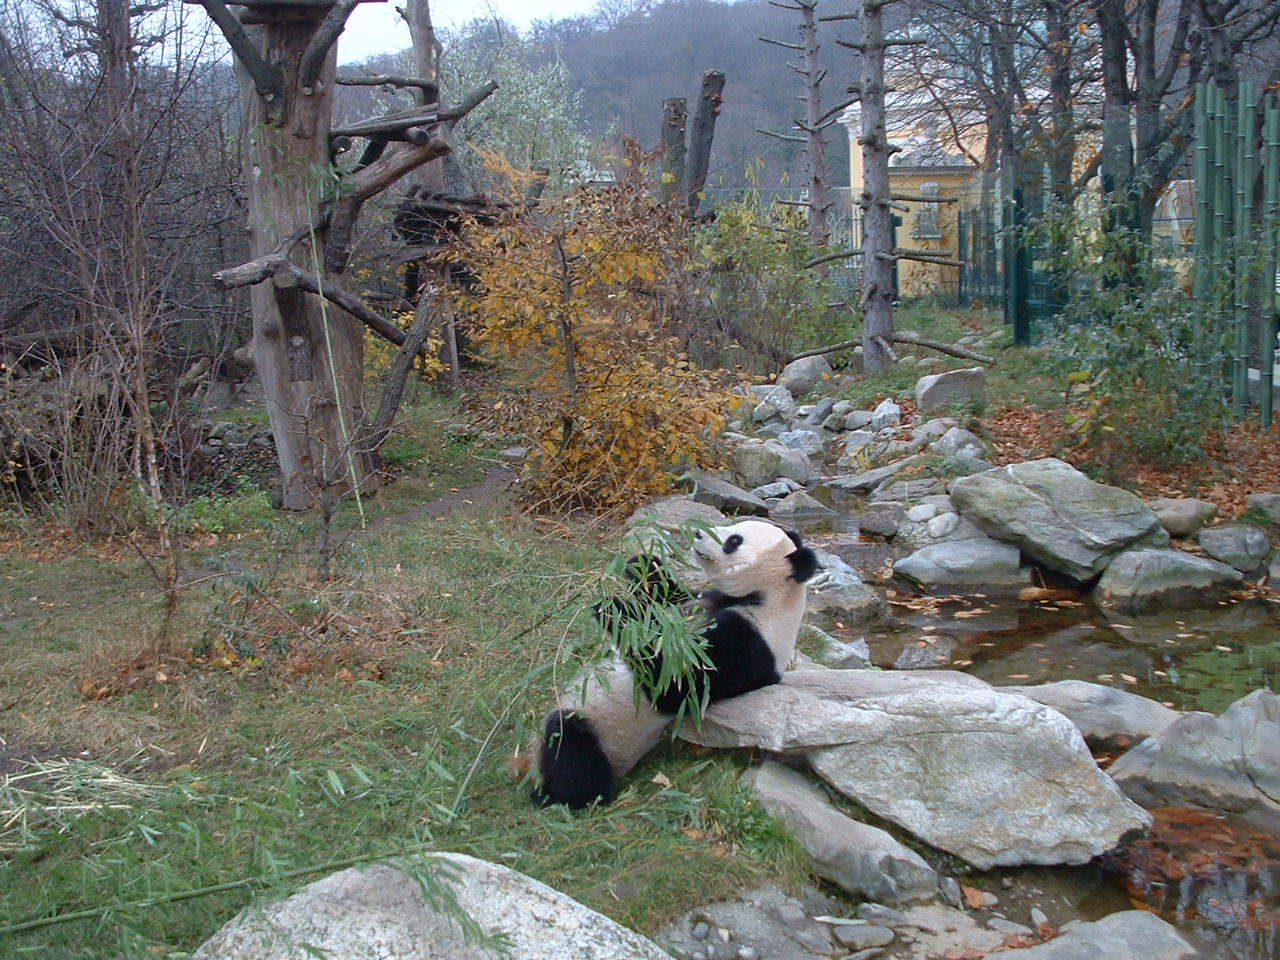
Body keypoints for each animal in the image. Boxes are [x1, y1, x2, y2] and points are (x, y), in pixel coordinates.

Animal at [533, 519, 820, 809]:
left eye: (734, 541)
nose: (698, 532)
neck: (768, 597)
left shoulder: (749, 643)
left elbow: (671, 683)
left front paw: (613, 607)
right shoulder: (705, 601)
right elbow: (672, 598)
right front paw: (643, 563)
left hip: (607, 734)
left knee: (571, 748)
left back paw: (561, 796)